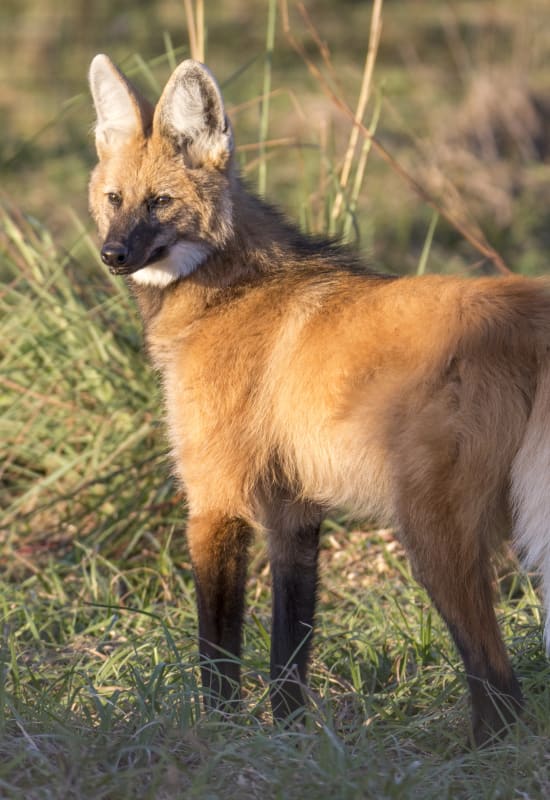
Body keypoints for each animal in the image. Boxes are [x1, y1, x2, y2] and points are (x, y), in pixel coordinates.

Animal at [88, 54, 548, 744]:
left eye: (160, 202)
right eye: (114, 200)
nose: (113, 255)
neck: (227, 291)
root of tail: (529, 311)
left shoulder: (216, 501)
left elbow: (218, 659)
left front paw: (219, 738)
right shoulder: (294, 512)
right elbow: (289, 653)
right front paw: (292, 738)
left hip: (431, 534)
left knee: (499, 684)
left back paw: (472, 753)